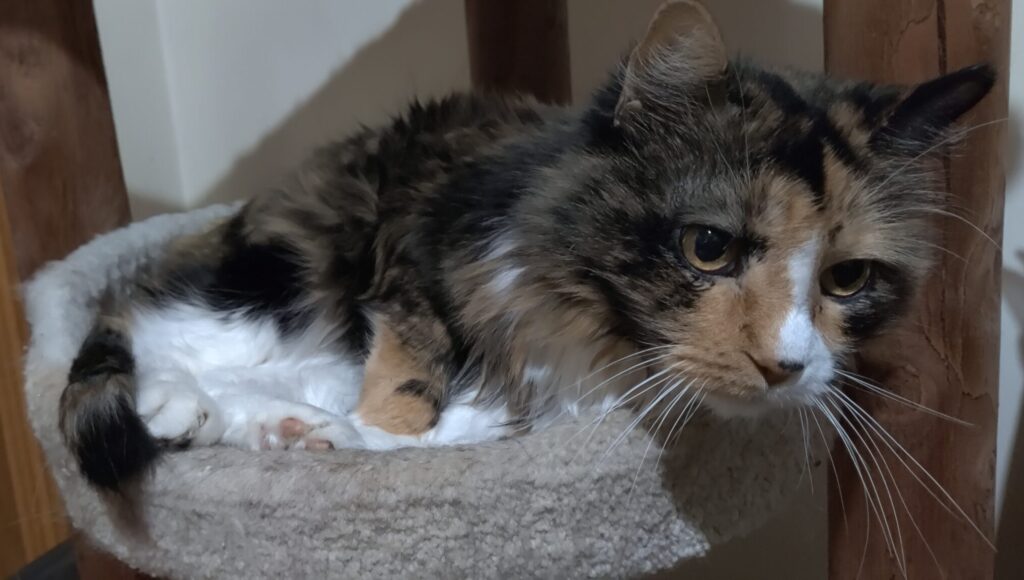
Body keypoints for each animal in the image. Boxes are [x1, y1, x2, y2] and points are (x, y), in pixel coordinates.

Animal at [59, 0, 995, 493]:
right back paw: (192, 408)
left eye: (847, 279)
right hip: (285, 276)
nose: (785, 366)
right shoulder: (413, 263)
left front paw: (345, 436)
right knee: (160, 332)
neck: (596, 343)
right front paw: (382, 437)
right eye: (708, 249)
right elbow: (409, 393)